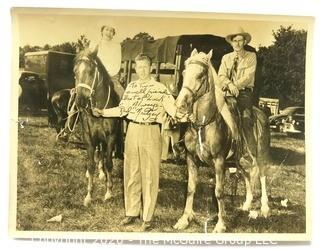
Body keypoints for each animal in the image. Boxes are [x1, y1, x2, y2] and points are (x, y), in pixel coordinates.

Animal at [74, 49, 120, 206]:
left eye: (91, 71)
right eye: (75, 71)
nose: (80, 101)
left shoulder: (111, 137)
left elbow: (109, 162)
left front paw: (109, 192)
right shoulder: (89, 138)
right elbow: (90, 164)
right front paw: (89, 195)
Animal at [172, 49, 270, 232]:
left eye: (201, 75)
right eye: (184, 72)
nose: (180, 105)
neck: (204, 123)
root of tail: (262, 114)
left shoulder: (219, 161)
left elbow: (219, 191)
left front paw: (220, 224)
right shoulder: (191, 158)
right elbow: (190, 188)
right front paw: (184, 219)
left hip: (261, 155)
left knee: (262, 176)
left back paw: (265, 208)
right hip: (239, 160)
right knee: (247, 176)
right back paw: (246, 205)